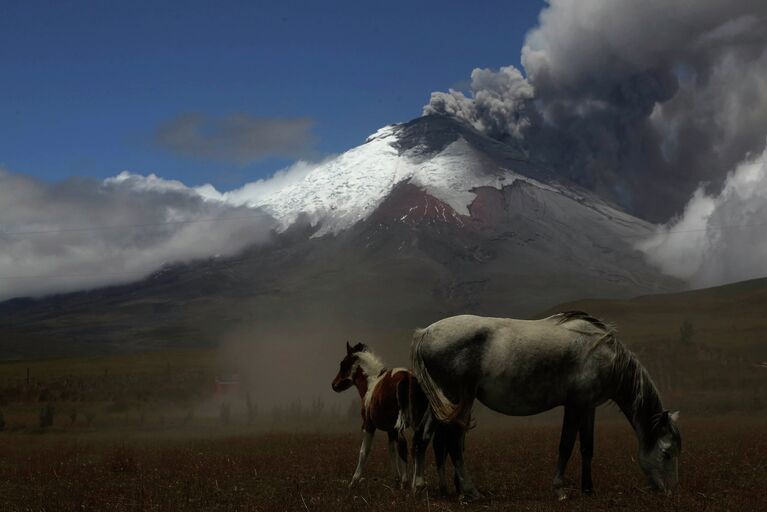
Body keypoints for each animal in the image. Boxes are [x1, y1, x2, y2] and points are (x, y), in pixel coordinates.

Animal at [332, 342, 412, 486]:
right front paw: (396, 479)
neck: (371, 384)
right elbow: (392, 450)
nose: (334, 385)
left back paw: (405, 482)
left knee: (404, 446)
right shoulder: (391, 430)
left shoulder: (369, 425)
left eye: (343, 364)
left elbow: (364, 451)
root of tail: (406, 377)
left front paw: (353, 481)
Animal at [414, 312, 684, 500]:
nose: (670, 492)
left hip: (441, 402)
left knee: (423, 435)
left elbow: (587, 447)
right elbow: (565, 445)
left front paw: (588, 489)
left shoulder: (588, 407)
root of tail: (426, 332)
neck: (604, 354)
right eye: (666, 453)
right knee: (452, 440)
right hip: (456, 398)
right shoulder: (574, 405)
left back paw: (422, 486)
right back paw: (470, 491)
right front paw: (560, 489)